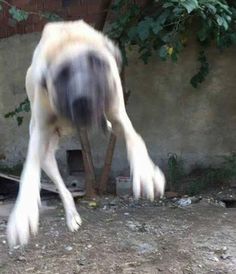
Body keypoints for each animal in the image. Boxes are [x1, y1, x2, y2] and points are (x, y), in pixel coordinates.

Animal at [7, 19, 166, 246]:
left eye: (97, 63)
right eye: (62, 74)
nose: (84, 101)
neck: (68, 40)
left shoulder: (118, 110)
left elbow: (135, 138)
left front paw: (146, 171)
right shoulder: (40, 130)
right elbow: (29, 171)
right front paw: (23, 212)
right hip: (46, 154)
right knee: (62, 188)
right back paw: (71, 215)